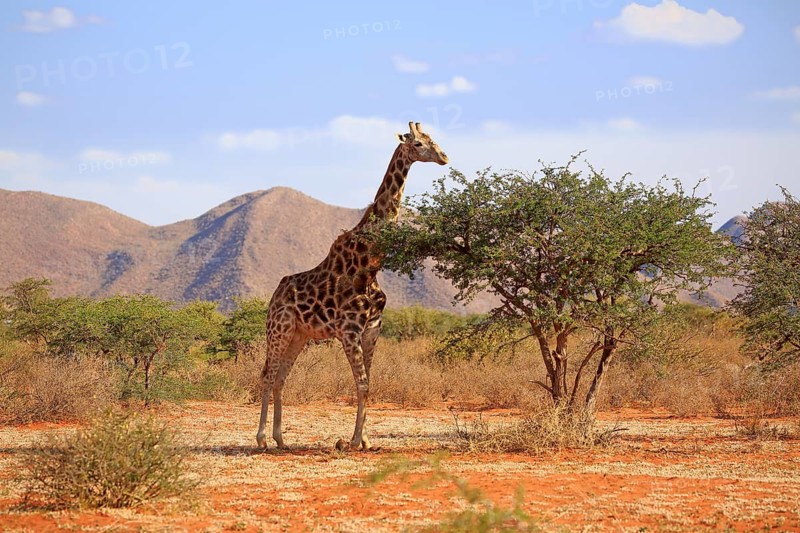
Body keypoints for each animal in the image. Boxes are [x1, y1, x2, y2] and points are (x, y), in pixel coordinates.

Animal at [256, 121, 448, 450]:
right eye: (419, 144)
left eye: (433, 139)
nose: (445, 157)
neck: (369, 264)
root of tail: (274, 296)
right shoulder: (348, 331)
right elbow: (362, 383)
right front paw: (352, 441)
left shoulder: (372, 329)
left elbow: (367, 384)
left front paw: (363, 440)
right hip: (279, 328)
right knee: (268, 375)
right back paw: (261, 440)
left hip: (298, 335)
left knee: (281, 377)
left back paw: (281, 439)